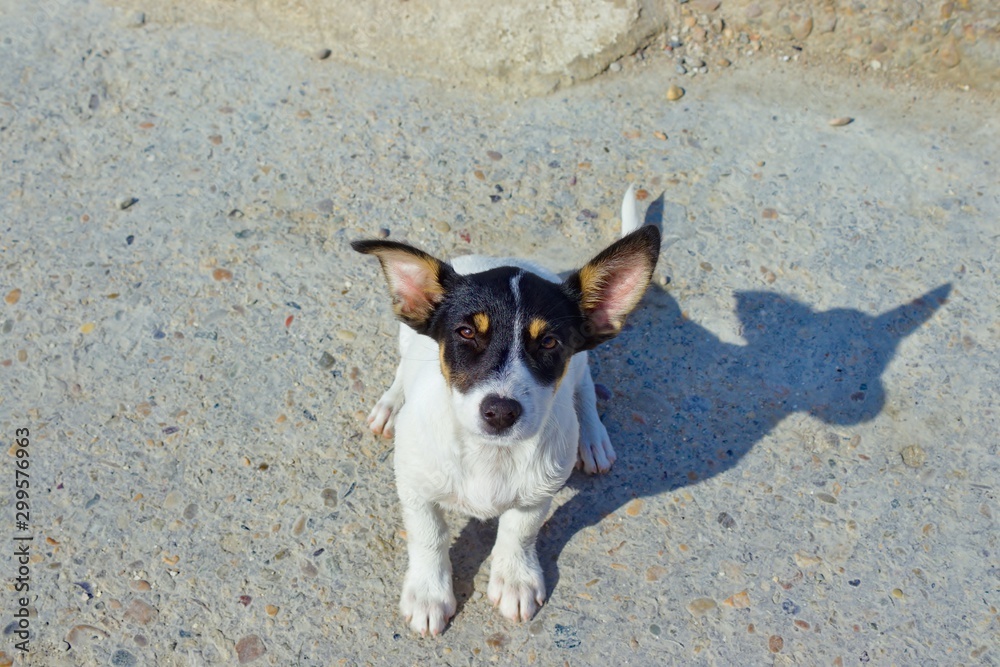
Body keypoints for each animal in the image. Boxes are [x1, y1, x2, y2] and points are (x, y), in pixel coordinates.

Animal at [348, 187, 660, 636]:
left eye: (549, 342)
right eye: (465, 333)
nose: (500, 411)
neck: (488, 454)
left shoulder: (538, 492)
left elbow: (519, 531)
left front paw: (514, 579)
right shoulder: (414, 486)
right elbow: (428, 535)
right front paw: (428, 593)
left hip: (581, 365)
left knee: (583, 387)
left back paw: (593, 438)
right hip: (406, 337)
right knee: (403, 369)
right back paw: (391, 406)